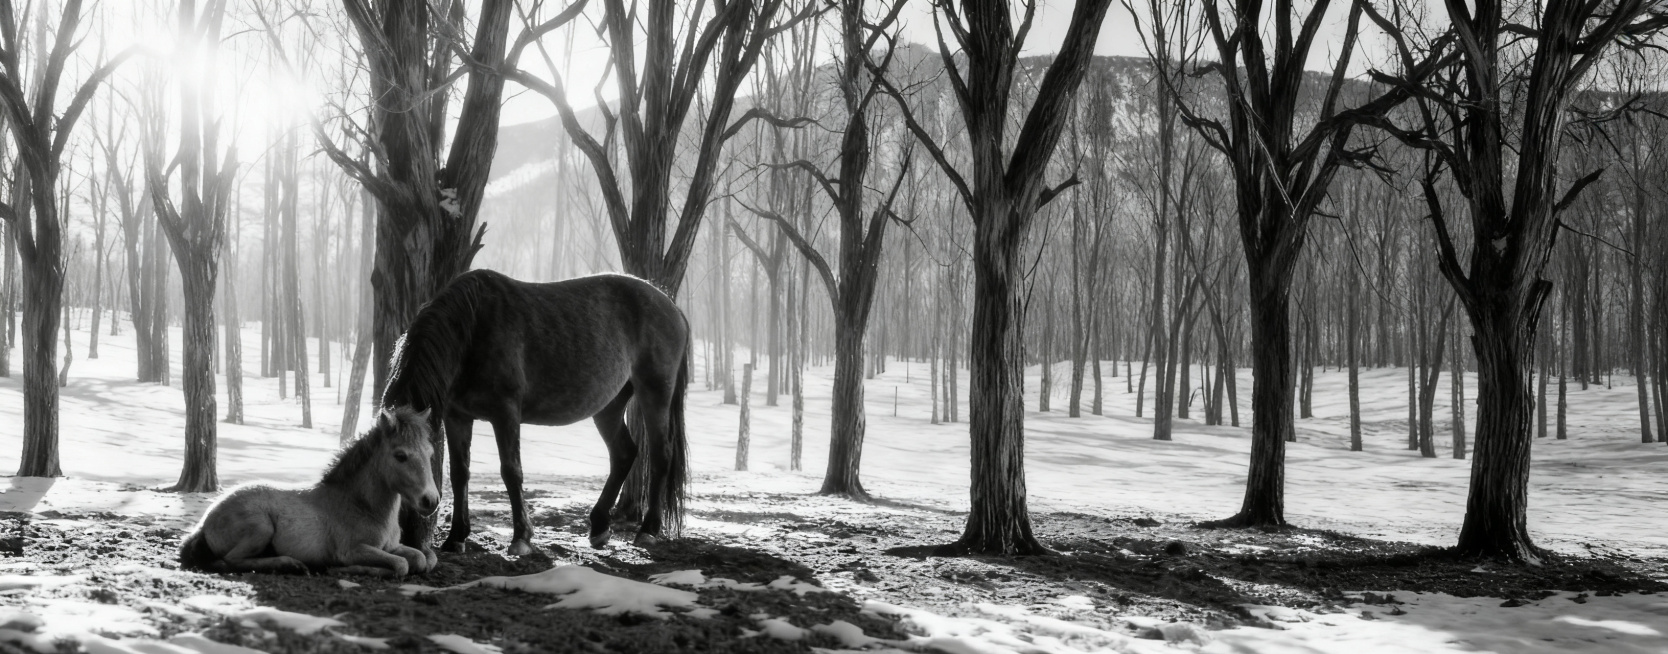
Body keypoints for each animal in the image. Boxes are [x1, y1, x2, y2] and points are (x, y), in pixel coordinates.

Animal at [178, 407, 441, 577]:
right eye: (400, 456)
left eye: (430, 453)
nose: (431, 501)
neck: (360, 505)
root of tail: (204, 521)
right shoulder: (355, 550)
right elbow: (401, 566)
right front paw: (343, 569)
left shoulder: (391, 547)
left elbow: (421, 559)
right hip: (261, 527)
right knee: (230, 561)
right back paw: (291, 565)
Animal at [380, 269, 690, 557]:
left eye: (404, 456)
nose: (409, 529)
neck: (473, 330)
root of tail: (670, 306)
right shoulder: (457, 417)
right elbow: (459, 474)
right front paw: (456, 537)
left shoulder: (505, 413)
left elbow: (511, 471)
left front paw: (521, 538)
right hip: (609, 406)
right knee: (623, 453)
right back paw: (600, 526)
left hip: (655, 393)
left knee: (661, 454)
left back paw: (648, 530)